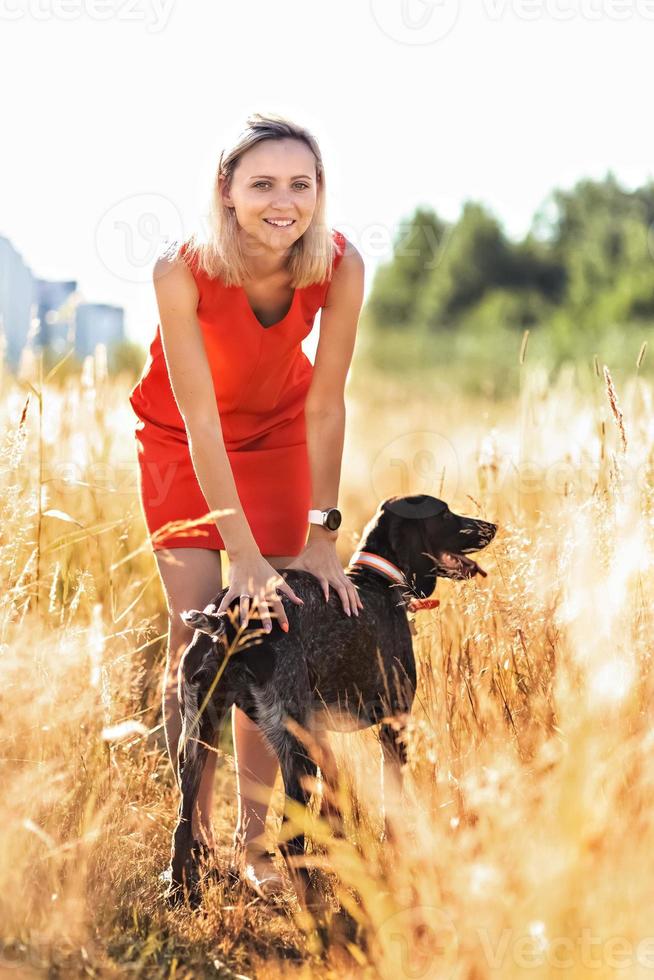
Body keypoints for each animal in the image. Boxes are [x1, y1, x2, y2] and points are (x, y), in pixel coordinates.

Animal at [168, 494, 498, 908]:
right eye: (444, 513)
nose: (492, 527)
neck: (379, 584)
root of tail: (228, 619)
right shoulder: (393, 726)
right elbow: (391, 809)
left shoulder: (323, 737)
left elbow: (336, 814)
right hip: (294, 749)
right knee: (291, 843)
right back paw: (316, 909)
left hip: (196, 738)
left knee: (182, 827)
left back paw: (179, 891)